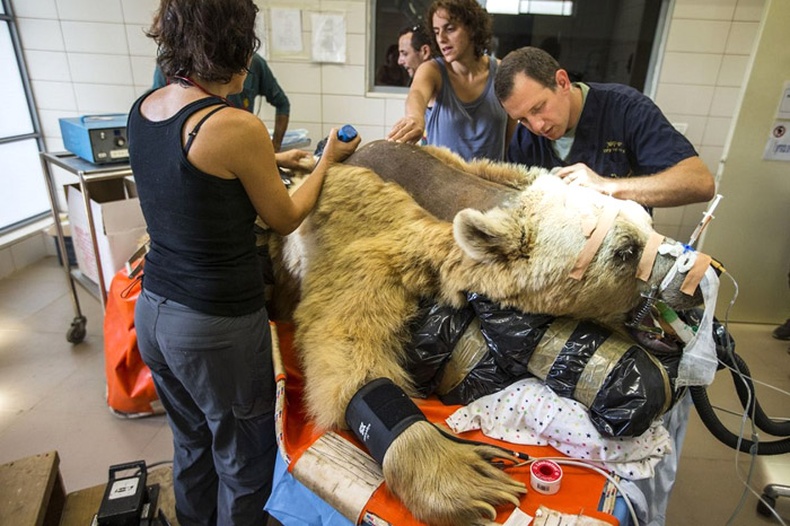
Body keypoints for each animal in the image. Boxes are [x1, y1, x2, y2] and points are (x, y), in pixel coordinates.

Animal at [270, 140, 708, 526]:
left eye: (647, 222)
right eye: (625, 251)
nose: (695, 287)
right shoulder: (380, 236)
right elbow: (341, 325)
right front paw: (453, 472)